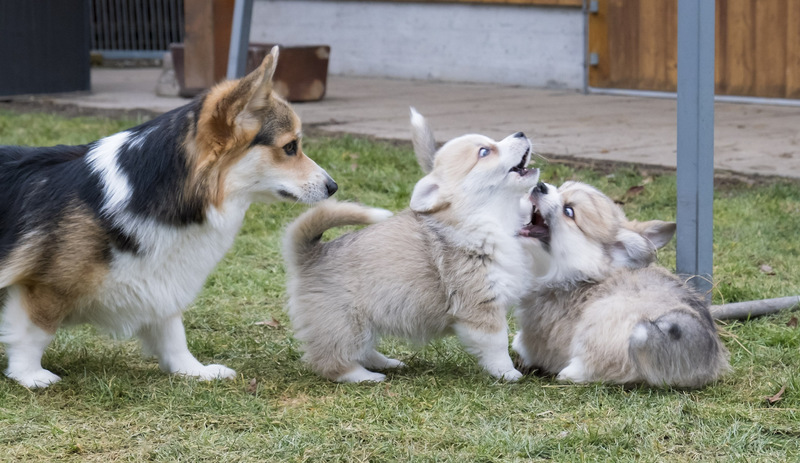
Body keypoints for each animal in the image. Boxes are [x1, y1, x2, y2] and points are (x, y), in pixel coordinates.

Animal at [0, 47, 338, 388]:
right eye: (290, 147)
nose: (333, 187)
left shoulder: (160, 285)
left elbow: (173, 335)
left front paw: (195, 371)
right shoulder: (43, 287)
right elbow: (35, 332)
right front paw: (29, 375)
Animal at [282, 109, 540, 383]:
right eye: (484, 151)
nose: (521, 133)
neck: (492, 215)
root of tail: (311, 254)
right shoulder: (481, 307)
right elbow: (497, 344)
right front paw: (508, 373)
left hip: (362, 324)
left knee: (363, 349)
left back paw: (387, 363)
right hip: (345, 322)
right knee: (333, 361)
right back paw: (366, 376)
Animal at [513, 181, 730, 388]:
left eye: (569, 211)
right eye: (560, 187)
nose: (540, 185)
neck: (580, 275)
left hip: (611, 321)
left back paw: (570, 373)